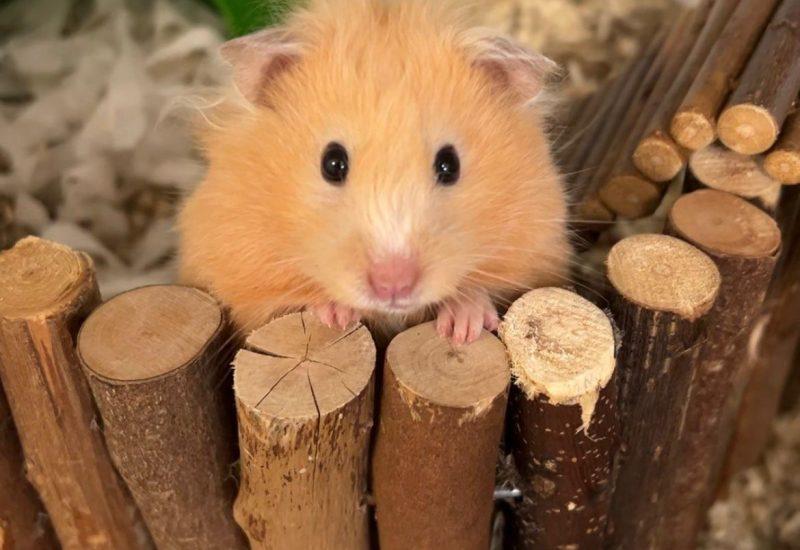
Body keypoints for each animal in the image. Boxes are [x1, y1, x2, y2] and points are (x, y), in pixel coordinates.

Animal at [177, 0, 571, 345]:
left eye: (450, 165)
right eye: (332, 163)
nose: (393, 287)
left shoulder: (538, 251)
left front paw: (462, 324)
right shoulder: (235, 268)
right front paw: (335, 314)